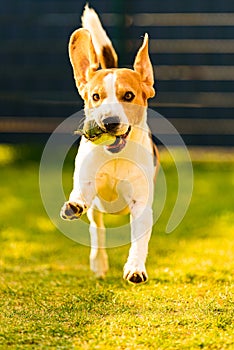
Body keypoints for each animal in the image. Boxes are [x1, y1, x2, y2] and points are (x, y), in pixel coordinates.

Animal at [60, 4, 159, 284]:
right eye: (95, 96)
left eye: (129, 95)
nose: (109, 122)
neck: (114, 157)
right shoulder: (87, 183)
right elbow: (80, 194)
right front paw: (74, 204)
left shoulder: (140, 204)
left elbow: (139, 239)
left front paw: (135, 267)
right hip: (97, 210)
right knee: (97, 229)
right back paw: (99, 262)